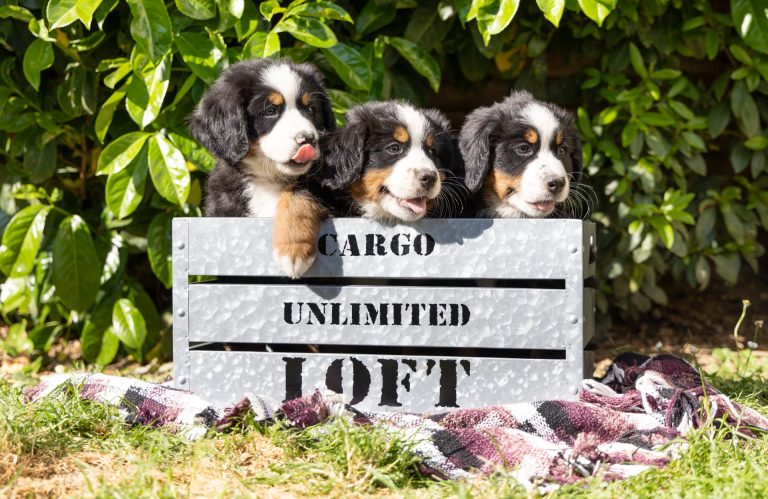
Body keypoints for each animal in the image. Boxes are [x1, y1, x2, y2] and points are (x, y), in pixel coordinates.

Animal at [189, 58, 332, 280]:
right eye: (270, 110)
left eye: (310, 109)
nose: (308, 139)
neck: (269, 178)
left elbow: (298, 193)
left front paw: (293, 250)